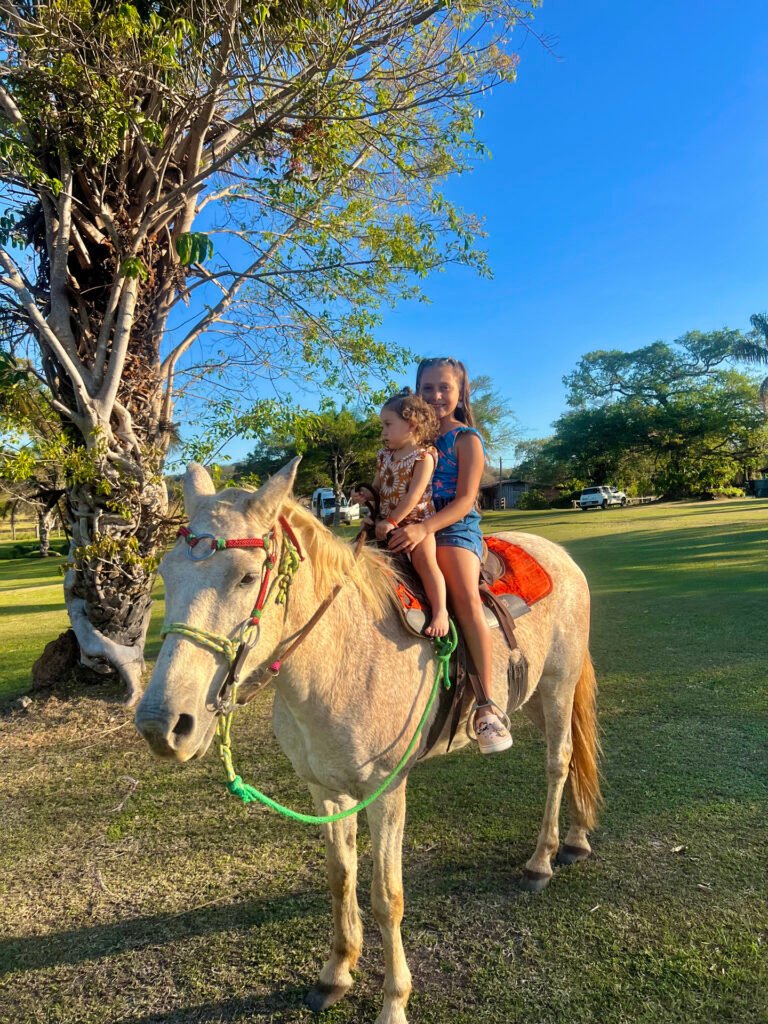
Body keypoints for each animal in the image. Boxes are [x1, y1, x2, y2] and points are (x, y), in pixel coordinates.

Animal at [135, 459, 600, 1024]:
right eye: (166, 574)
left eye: (246, 576)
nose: (162, 725)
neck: (342, 658)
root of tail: (560, 556)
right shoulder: (325, 790)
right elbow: (340, 878)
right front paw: (336, 973)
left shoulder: (386, 792)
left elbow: (386, 896)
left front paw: (394, 1001)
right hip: (530, 695)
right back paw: (576, 839)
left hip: (558, 687)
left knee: (559, 762)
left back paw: (542, 861)